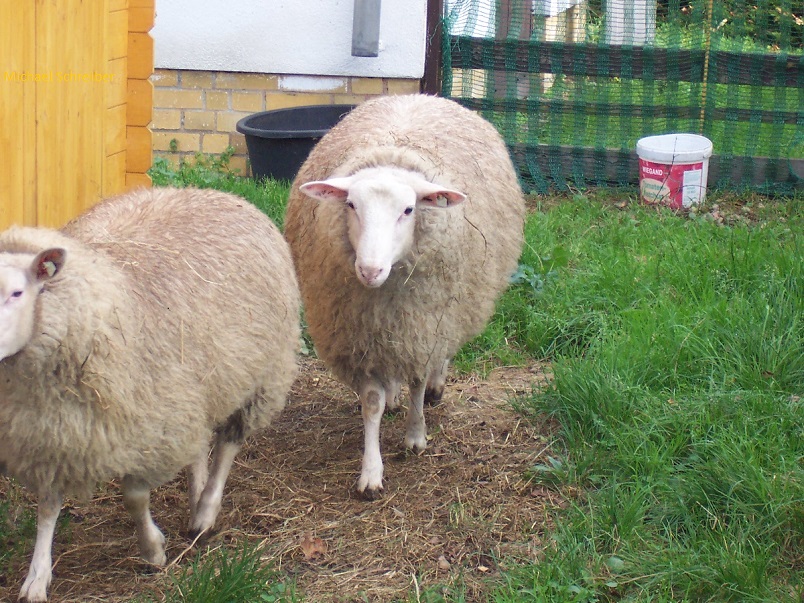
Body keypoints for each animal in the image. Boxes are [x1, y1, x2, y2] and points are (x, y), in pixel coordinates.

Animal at [0, 186, 300, 600]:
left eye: (17, 292)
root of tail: (215, 193)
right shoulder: (50, 437)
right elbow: (47, 508)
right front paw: (37, 576)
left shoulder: (150, 431)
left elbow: (135, 496)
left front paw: (153, 550)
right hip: (194, 388)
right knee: (199, 446)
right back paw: (197, 497)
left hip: (259, 377)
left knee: (228, 443)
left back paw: (205, 511)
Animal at [284, 94, 528, 500]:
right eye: (350, 205)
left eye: (409, 209)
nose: (369, 270)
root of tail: (418, 95)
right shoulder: (361, 337)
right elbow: (371, 403)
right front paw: (371, 472)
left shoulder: (423, 328)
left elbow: (418, 379)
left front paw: (416, 435)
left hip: (447, 312)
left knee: (439, 359)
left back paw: (435, 388)